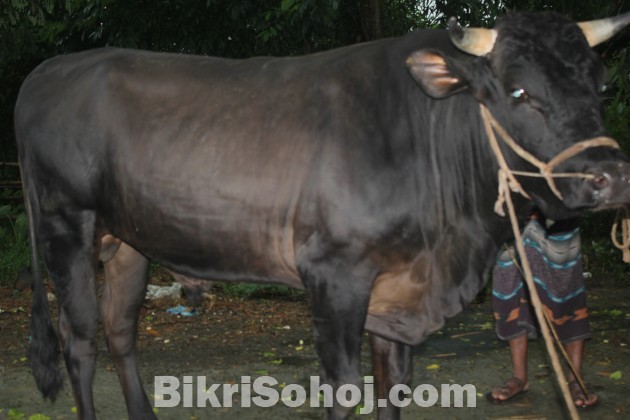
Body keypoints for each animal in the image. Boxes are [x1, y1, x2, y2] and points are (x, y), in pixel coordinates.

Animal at [12, 9, 630, 420]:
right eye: (519, 90)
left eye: (601, 85)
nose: (610, 175)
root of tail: (50, 68)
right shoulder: (335, 272)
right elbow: (343, 386)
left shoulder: (398, 289)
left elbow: (394, 383)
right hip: (67, 225)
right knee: (80, 340)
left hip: (128, 241)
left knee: (121, 329)